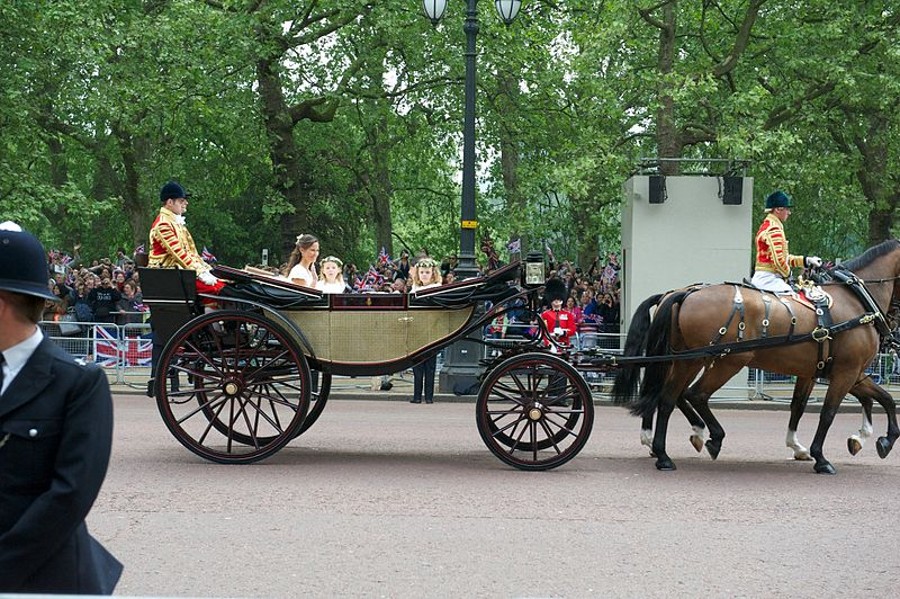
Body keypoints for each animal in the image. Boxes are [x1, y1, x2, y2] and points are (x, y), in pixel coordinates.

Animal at [612, 239, 900, 474]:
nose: (894, 331)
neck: (856, 302)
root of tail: (684, 293)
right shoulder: (846, 372)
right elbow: (829, 413)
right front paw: (822, 457)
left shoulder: (835, 372)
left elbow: (873, 399)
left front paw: (869, 439)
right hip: (724, 362)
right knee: (691, 395)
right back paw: (698, 442)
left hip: (688, 360)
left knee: (670, 397)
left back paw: (666, 449)